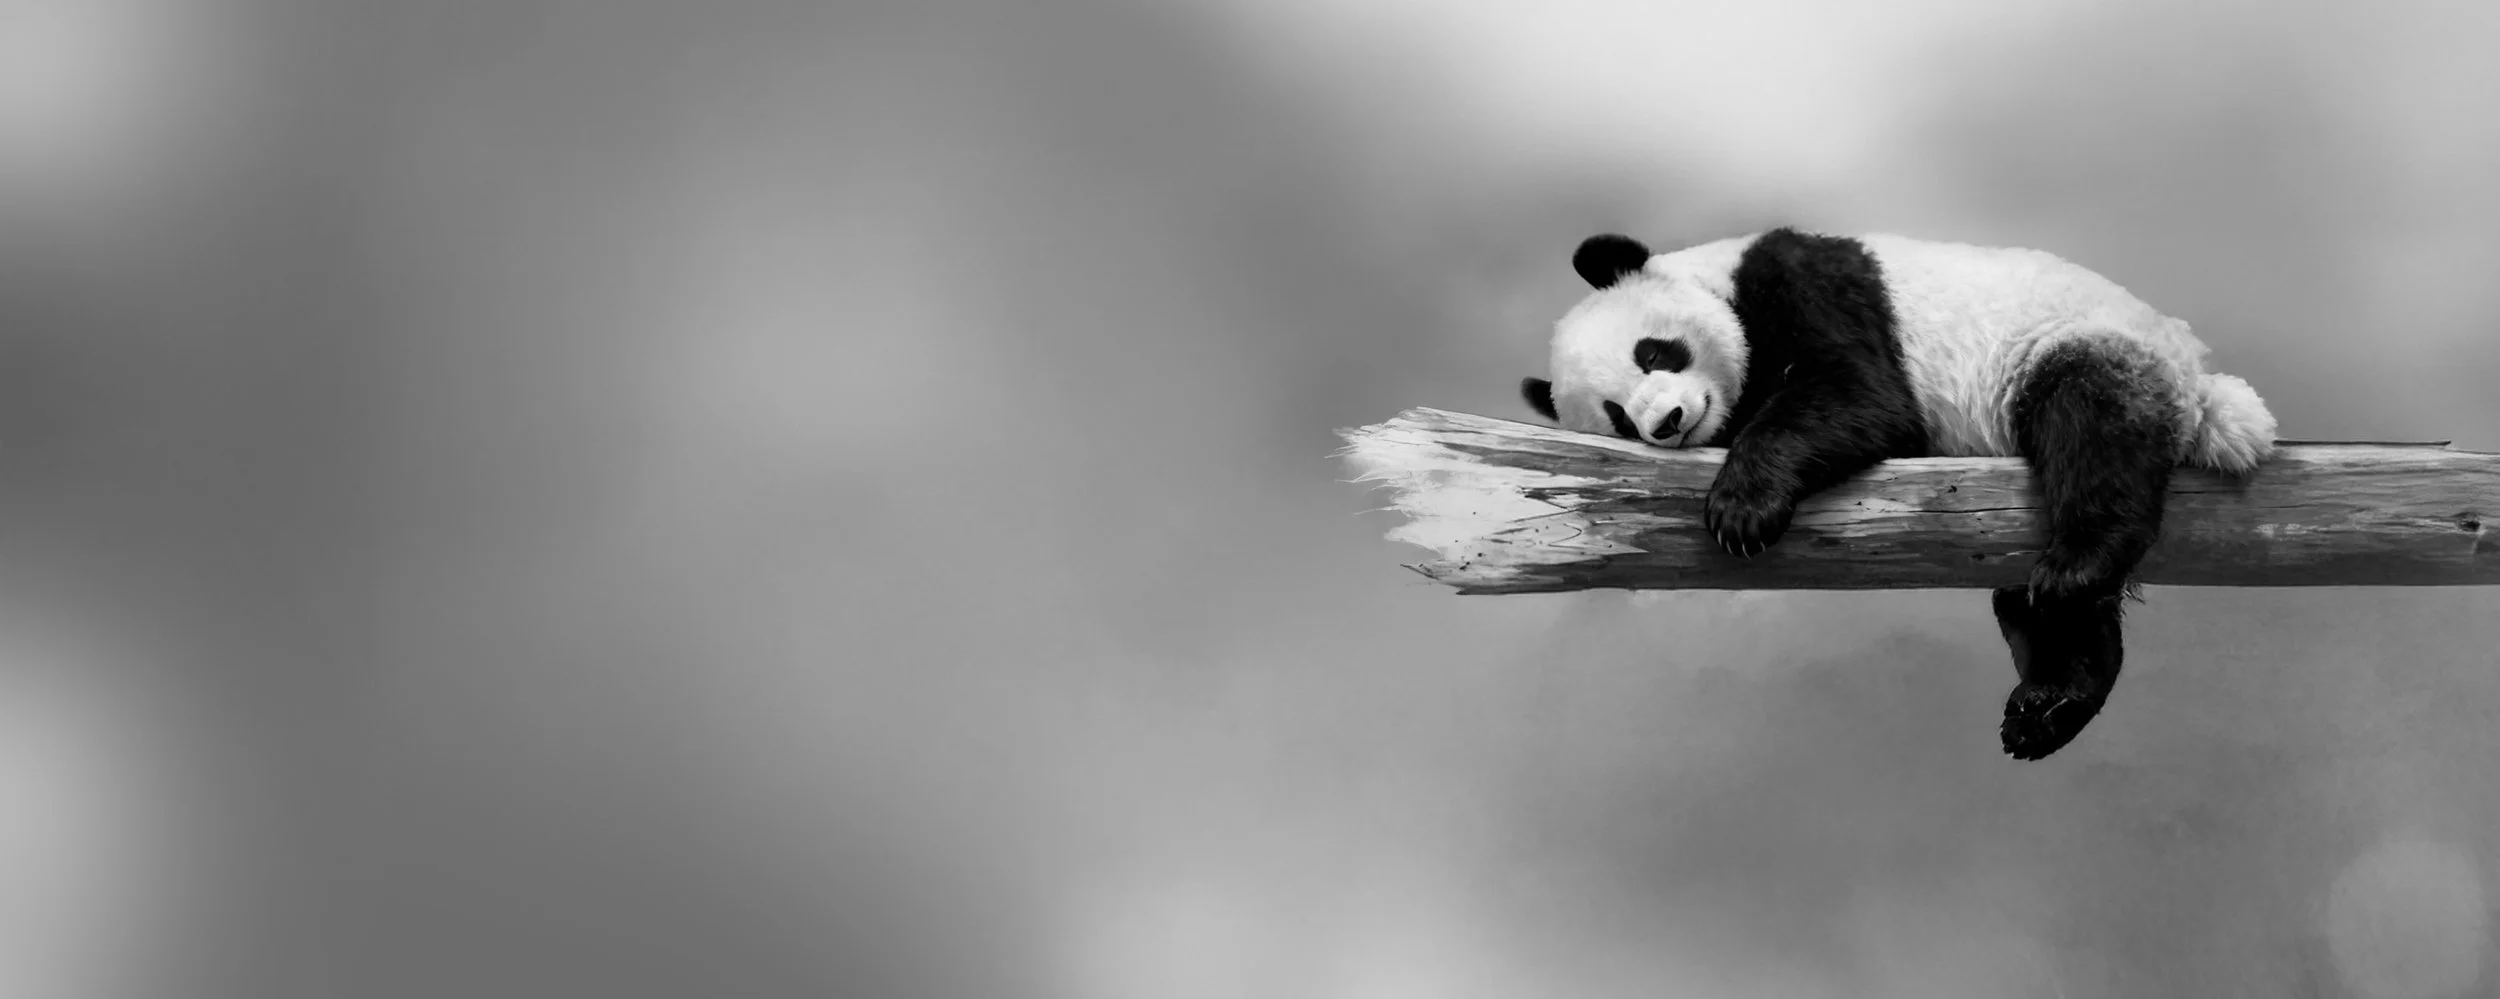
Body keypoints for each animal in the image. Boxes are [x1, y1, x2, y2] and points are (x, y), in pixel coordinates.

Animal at [1520, 228, 2277, 760]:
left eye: (1654, 351)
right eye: (1617, 415)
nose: (1669, 421)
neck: (1721, 279)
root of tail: (2199, 388)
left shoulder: (1806, 283)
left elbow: (1862, 395)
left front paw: (1742, 509)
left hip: (2082, 342)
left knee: (2092, 423)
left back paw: (2076, 566)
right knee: (2034, 600)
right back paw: (2049, 700)